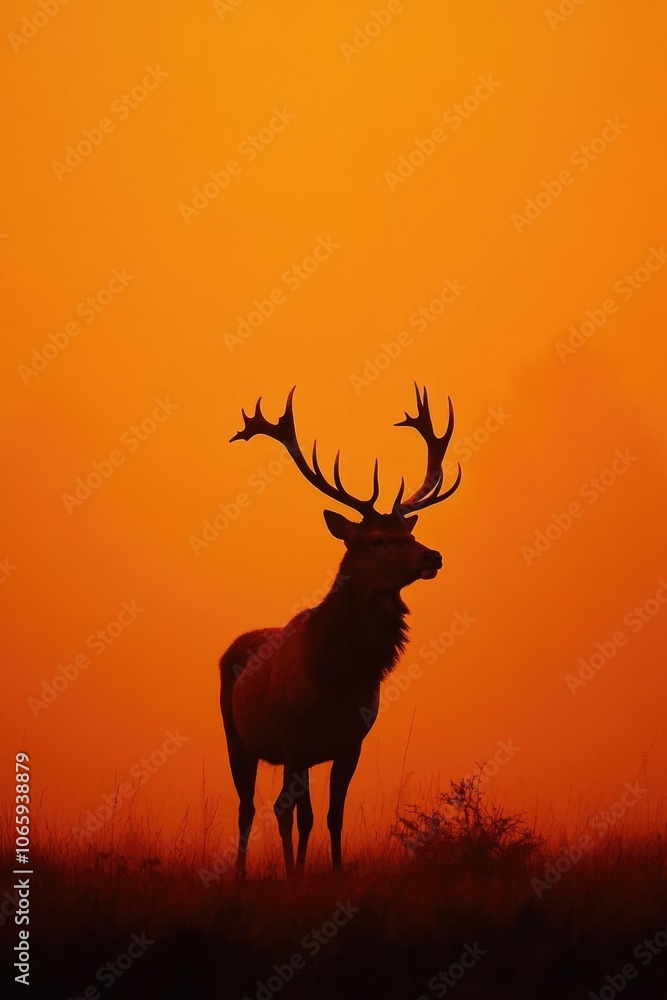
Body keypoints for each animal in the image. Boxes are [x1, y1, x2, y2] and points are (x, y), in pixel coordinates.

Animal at [219, 383, 461, 877]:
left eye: (409, 535)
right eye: (377, 540)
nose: (433, 556)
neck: (336, 678)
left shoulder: (349, 743)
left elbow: (333, 816)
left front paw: (334, 872)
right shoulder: (295, 740)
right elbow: (301, 816)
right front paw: (296, 878)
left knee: (278, 808)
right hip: (237, 739)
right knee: (251, 809)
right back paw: (241, 875)